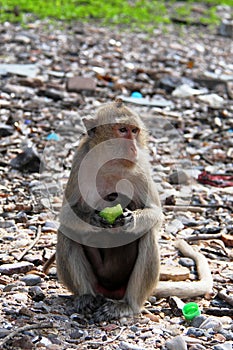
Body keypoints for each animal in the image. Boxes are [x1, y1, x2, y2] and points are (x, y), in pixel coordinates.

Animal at [55, 99, 163, 322]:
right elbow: (66, 214)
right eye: (122, 130)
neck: (110, 163)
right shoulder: (80, 161)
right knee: (67, 232)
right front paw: (93, 220)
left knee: (147, 235)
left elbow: (155, 213)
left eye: (134, 131)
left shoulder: (141, 166)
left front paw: (130, 220)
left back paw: (127, 305)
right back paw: (86, 296)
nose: (132, 146)